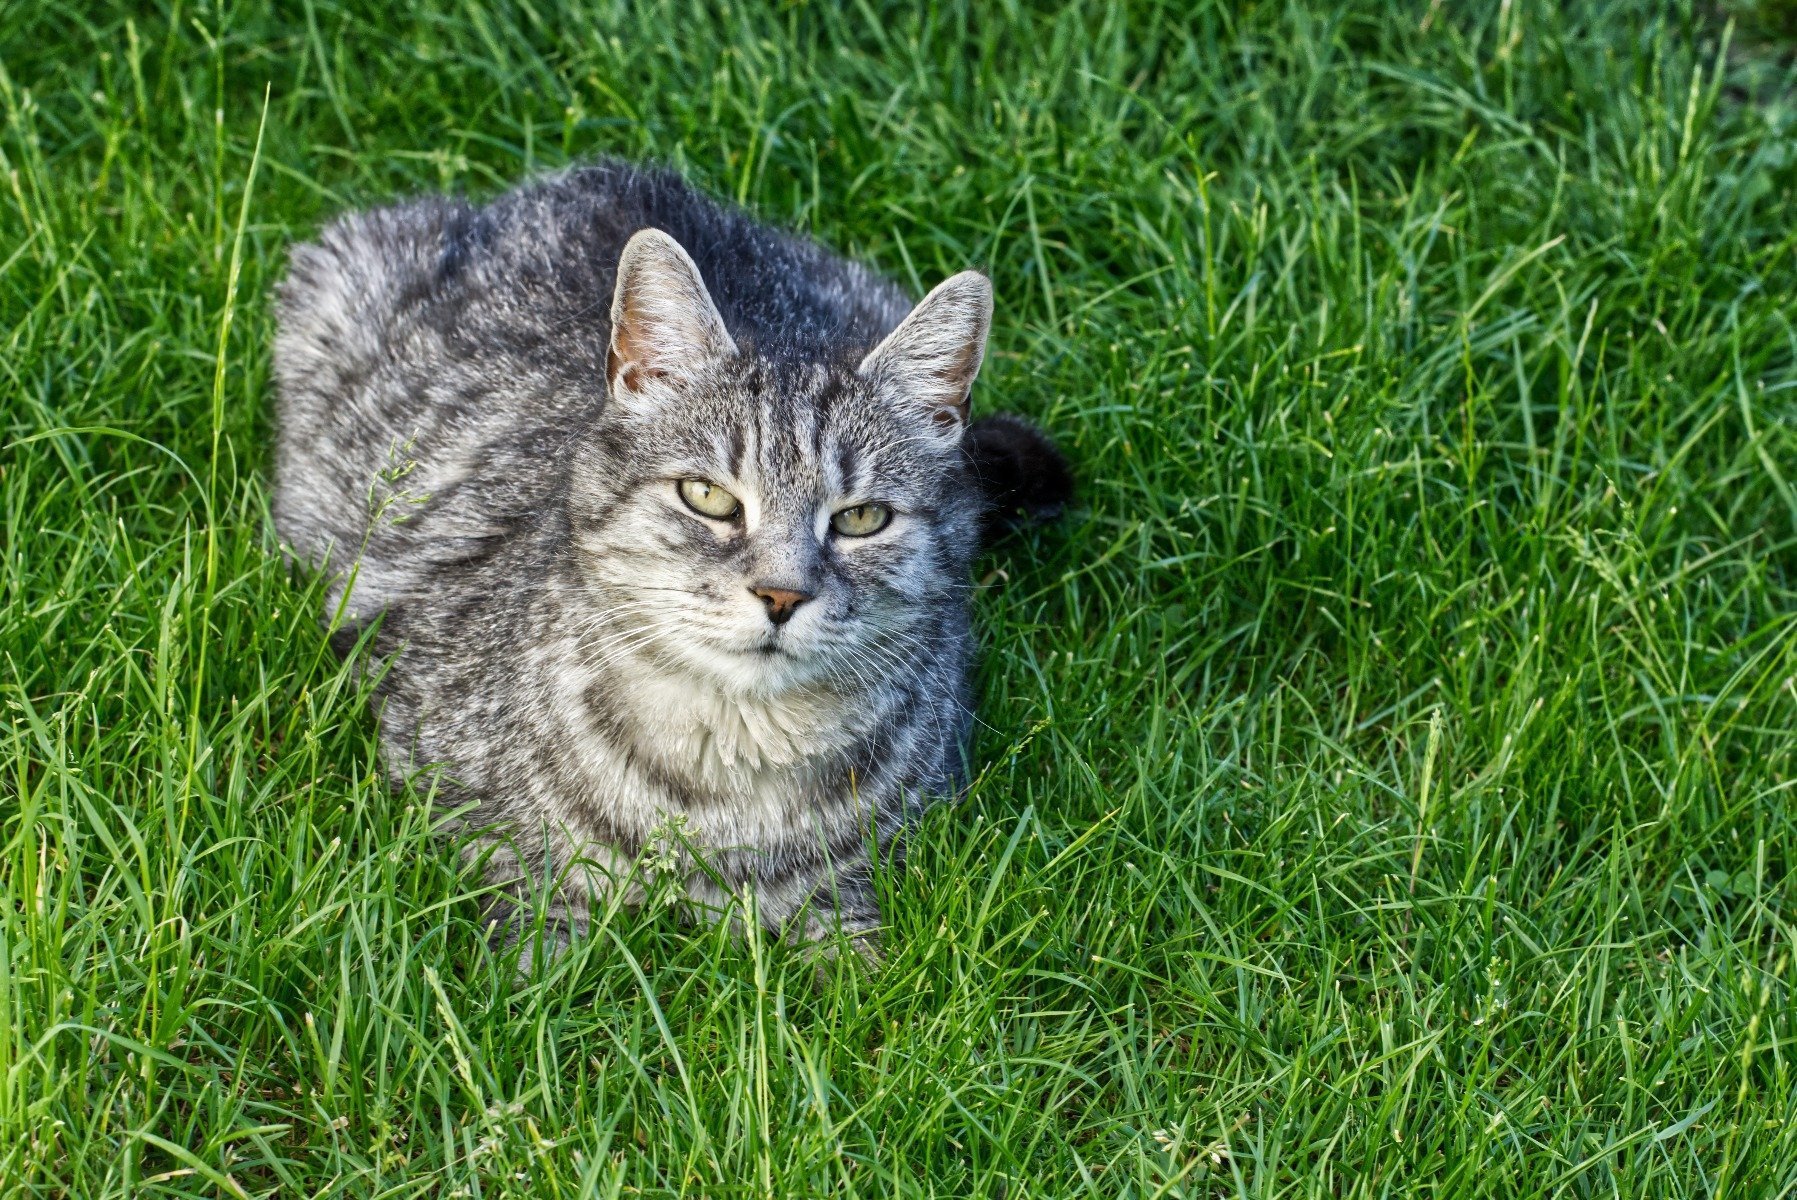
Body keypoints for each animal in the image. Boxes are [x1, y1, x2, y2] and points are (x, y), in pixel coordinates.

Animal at [269, 161, 1063, 962]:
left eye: (861, 518)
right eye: (707, 497)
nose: (780, 595)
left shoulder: (872, 875)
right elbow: (530, 950)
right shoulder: (477, 828)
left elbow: (869, 963)